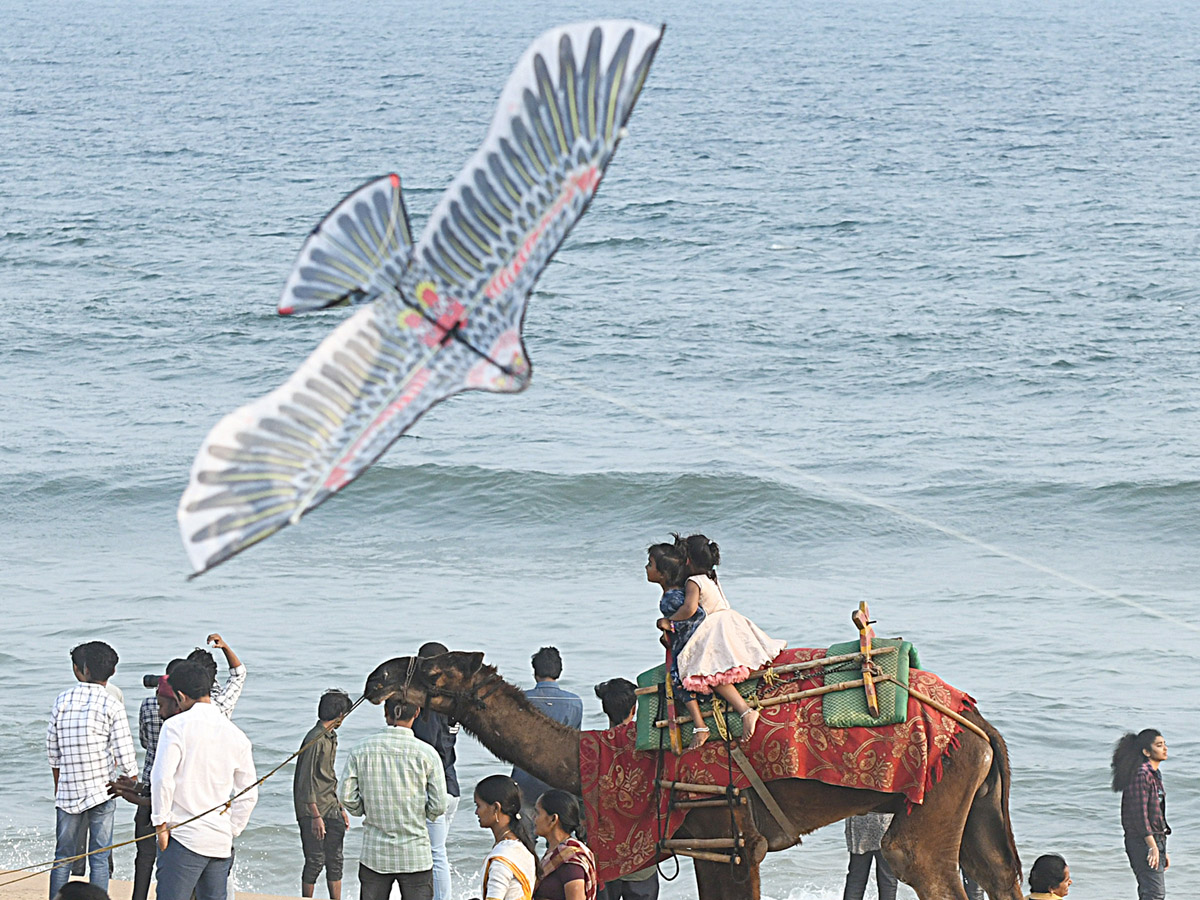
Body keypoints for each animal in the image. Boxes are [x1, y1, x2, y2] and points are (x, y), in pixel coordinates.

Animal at [364, 652, 1022, 897]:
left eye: (433, 670)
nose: (376, 678)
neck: (606, 756)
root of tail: (972, 721)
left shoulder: (726, 838)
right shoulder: (724, 846)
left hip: (939, 785)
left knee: (917, 861)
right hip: (973, 797)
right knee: (994, 869)